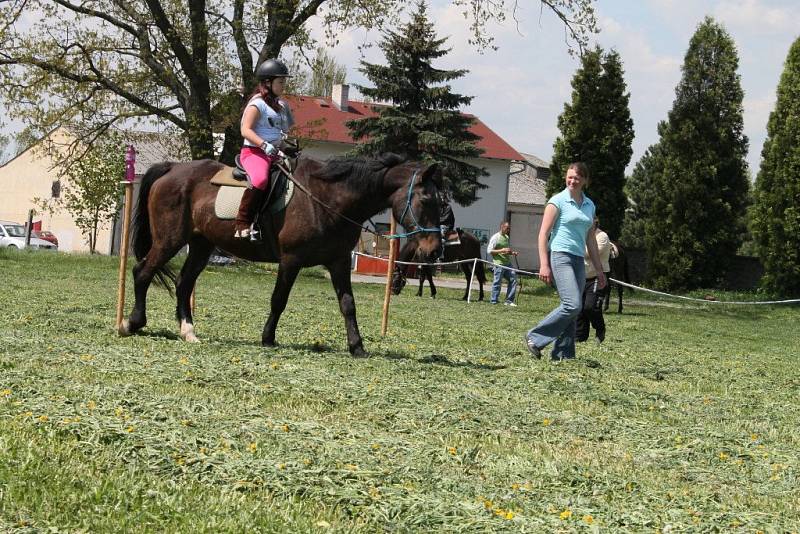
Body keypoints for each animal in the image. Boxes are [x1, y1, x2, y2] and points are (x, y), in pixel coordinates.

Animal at [121, 155, 440, 356]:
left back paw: (188, 331)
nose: (435, 249)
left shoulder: (338, 262)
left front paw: (357, 346)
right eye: (426, 199)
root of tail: (172, 168)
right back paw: (132, 322)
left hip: (201, 245)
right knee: (143, 272)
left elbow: (348, 305)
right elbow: (279, 300)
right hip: (169, 240)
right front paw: (268, 338)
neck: (327, 198)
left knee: (183, 283)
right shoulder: (291, 260)